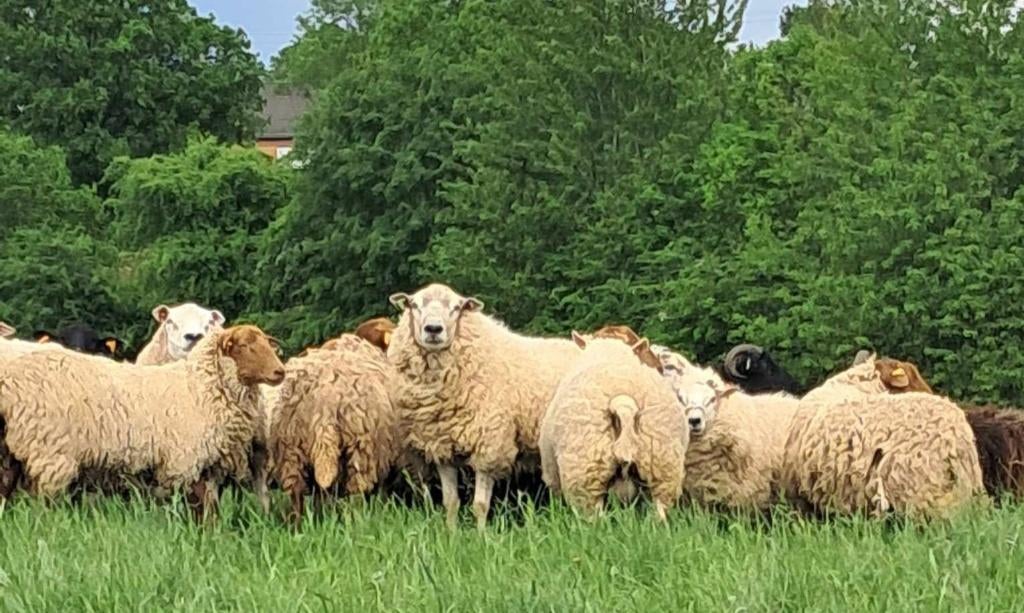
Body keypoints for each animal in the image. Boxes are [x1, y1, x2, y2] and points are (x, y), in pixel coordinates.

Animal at [0, 325, 285, 521]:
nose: (279, 372)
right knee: (43, 504)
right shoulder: (185, 461)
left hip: (13, 454)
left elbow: (208, 512)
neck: (198, 388)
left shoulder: (205, 469)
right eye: (244, 345)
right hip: (50, 454)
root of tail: (10, 382)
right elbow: (198, 510)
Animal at [269, 333, 402, 526]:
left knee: (296, 495)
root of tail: (325, 403)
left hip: (290, 449)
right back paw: (358, 523)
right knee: (356, 494)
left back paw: (300, 525)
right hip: (361, 449)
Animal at [387, 283, 582, 529]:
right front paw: (450, 534)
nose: (433, 329)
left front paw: (482, 536)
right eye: (414, 304)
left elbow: (480, 505)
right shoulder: (442, 448)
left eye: (457, 307)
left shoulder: (489, 445)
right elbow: (451, 502)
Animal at [538, 334, 687, 521]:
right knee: (658, 515)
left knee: (595, 520)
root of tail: (623, 403)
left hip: (586, 476)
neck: (610, 353)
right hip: (662, 471)